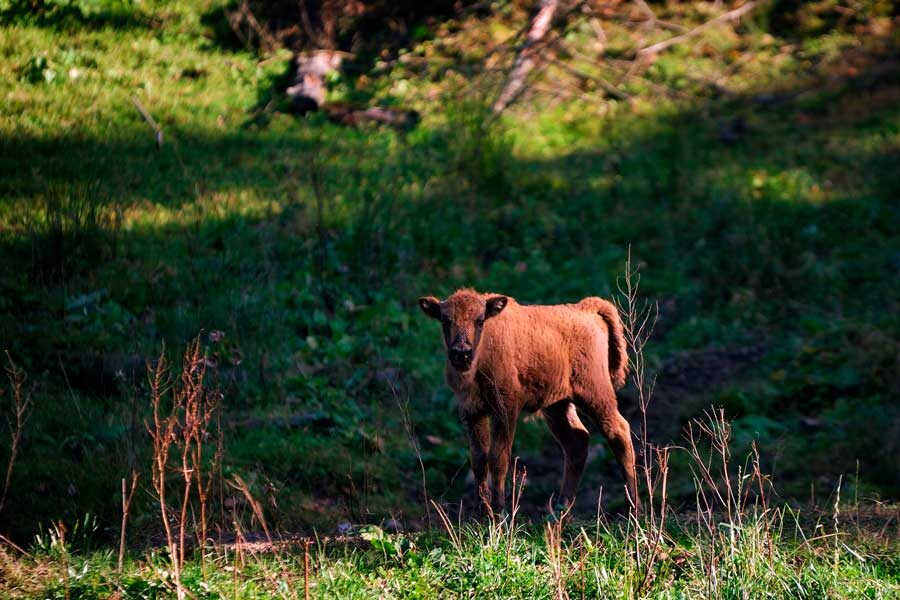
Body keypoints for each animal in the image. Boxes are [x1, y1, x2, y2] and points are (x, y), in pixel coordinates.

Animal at [420, 288, 640, 512]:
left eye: (480, 320)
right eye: (445, 320)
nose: (461, 353)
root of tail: (586, 309)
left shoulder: (505, 410)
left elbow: (498, 458)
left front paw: (498, 512)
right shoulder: (471, 412)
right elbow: (479, 460)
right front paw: (483, 513)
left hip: (596, 395)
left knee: (618, 432)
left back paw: (634, 508)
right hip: (557, 406)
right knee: (577, 442)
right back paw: (560, 511)